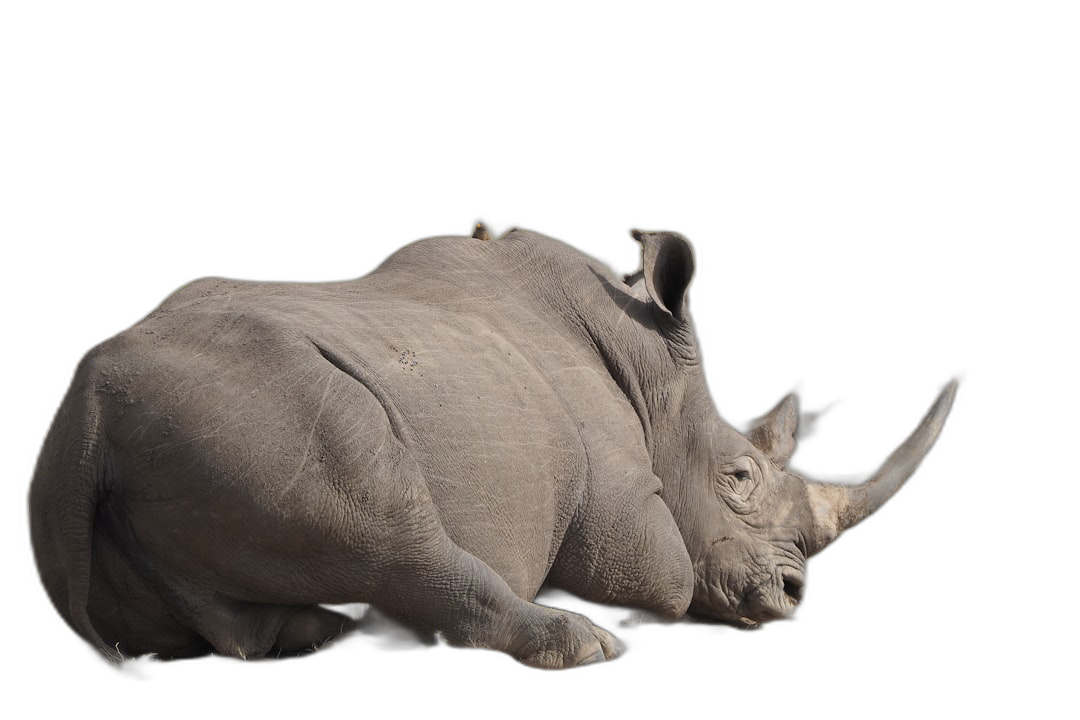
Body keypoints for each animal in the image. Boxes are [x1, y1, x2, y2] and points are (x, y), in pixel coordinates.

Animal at [25, 225, 954, 669]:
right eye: (739, 474)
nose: (791, 595)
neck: (654, 374)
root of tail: (85, 416)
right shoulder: (624, 506)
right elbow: (665, 574)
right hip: (264, 403)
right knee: (385, 519)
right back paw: (583, 647)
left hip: (190, 428)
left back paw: (321, 634)